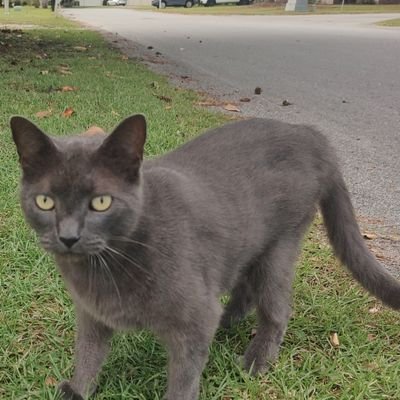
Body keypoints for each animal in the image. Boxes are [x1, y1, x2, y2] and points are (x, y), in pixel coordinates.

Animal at [10, 115, 400, 400]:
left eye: (101, 202)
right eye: (45, 201)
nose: (68, 237)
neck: (102, 269)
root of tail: (312, 135)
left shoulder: (194, 319)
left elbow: (184, 375)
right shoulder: (92, 313)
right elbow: (88, 352)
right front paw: (77, 389)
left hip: (282, 242)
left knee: (276, 308)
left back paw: (257, 360)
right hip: (246, 242)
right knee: (244, 285)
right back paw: (228, 322)